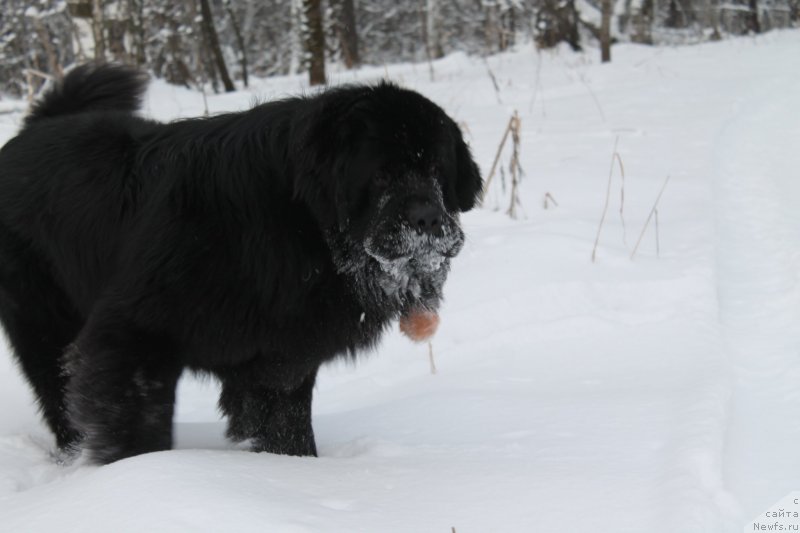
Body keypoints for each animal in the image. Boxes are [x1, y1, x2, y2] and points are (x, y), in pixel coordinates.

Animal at [0, 64, 482, 464]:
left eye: (437, 170)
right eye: (381, 174)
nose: (427, 218)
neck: (301, 227)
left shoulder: (281, 359)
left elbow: (288, 427)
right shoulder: (132, 334)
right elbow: (140, 423)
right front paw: (139, 475)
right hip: (44, 320)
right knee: (55, 391)